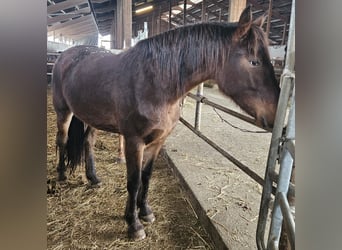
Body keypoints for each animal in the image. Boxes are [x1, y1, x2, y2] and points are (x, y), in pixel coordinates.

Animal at [51, 5, 280, 240]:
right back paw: (61, 175)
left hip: (91, 117)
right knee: (62, 139)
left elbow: (146, 177)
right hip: (63, 111)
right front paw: (134, 225)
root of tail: (67, 55)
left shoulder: (158, 141)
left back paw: (93, 178)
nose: (276, 114)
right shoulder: (134, 142)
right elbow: (134, 181)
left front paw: (145, 212)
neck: (153, 83)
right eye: (254, 62)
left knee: (88, 143)